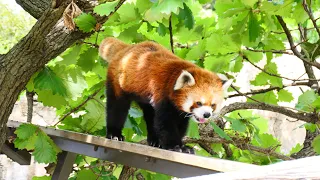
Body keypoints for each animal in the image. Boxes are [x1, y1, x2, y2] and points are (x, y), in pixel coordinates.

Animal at [99, 37, 231, 153]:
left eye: (213, 105)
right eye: (198, 103)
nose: (207, 114)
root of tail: (127, 48)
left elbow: (179, 125)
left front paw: (180, 144)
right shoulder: (163, 94)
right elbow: (166, 123)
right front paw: (176, 146)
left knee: (150, 114)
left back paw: (155, 140)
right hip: (118, 81)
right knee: (117, 107)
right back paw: (114, 134)